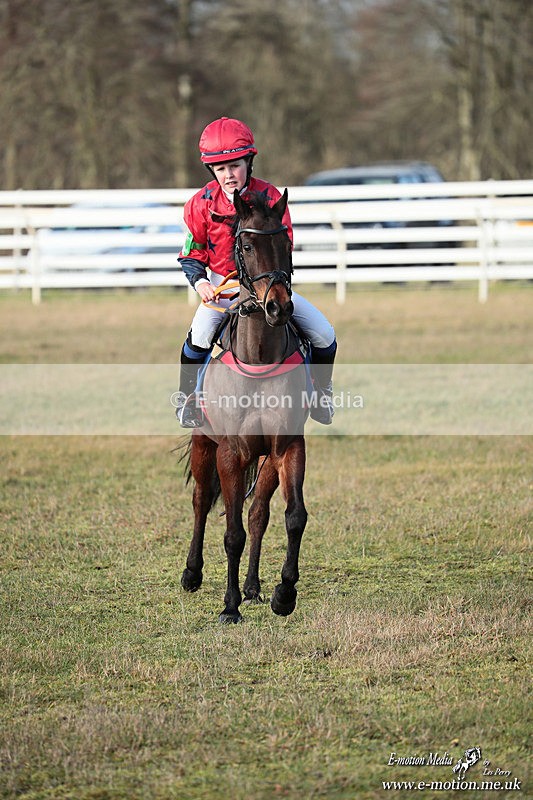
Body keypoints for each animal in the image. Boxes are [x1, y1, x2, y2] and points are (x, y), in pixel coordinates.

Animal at [180, 188, 309, 623]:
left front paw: (284, 593)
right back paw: (192, 573)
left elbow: (292, 517)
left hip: (265, 460)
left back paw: (253, 587)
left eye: (286, 242)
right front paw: (229, 606)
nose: (278, 307)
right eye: (247, 246)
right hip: (204, 443)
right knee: (202, 501)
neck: (258, 359)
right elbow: (231, 532)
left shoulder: (287, 447)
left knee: (258, 515)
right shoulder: (231, 452)